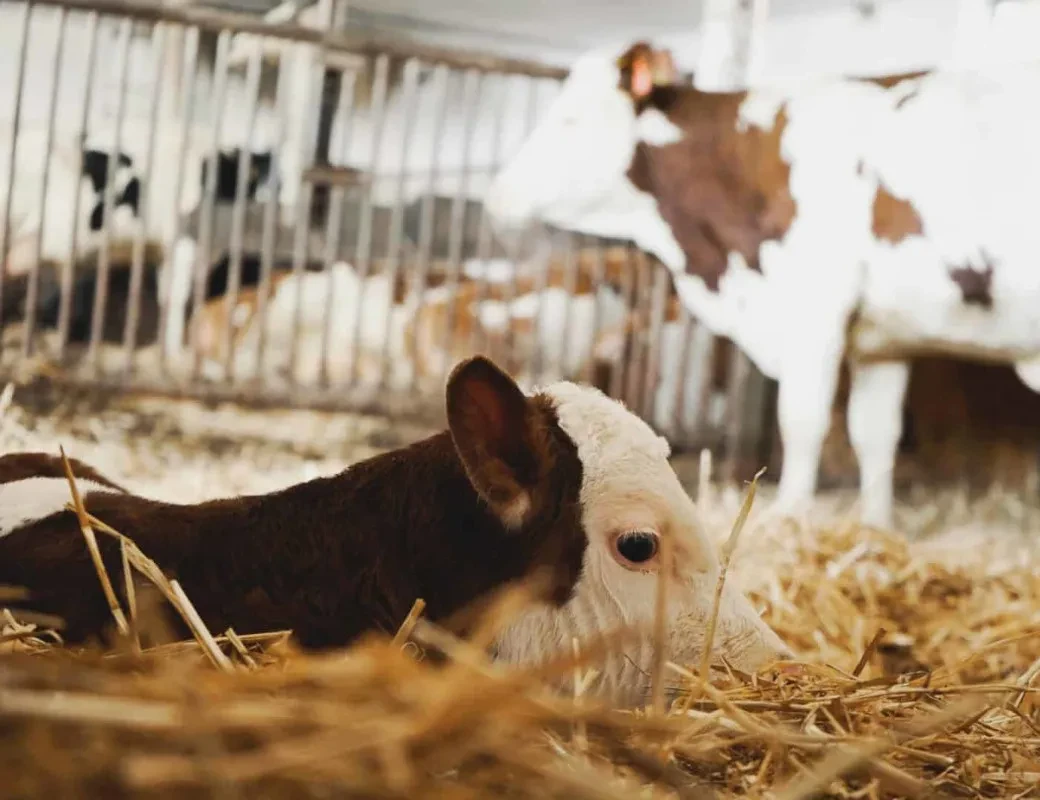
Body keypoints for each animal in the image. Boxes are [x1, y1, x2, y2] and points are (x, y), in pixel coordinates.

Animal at [480, 40, 1040, 528]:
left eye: (568, 121)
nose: (496, 194)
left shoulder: (814, 305)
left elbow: (803, 423)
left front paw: (789, 517)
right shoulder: (884, 339)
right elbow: (876, 434)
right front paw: (877, 528)